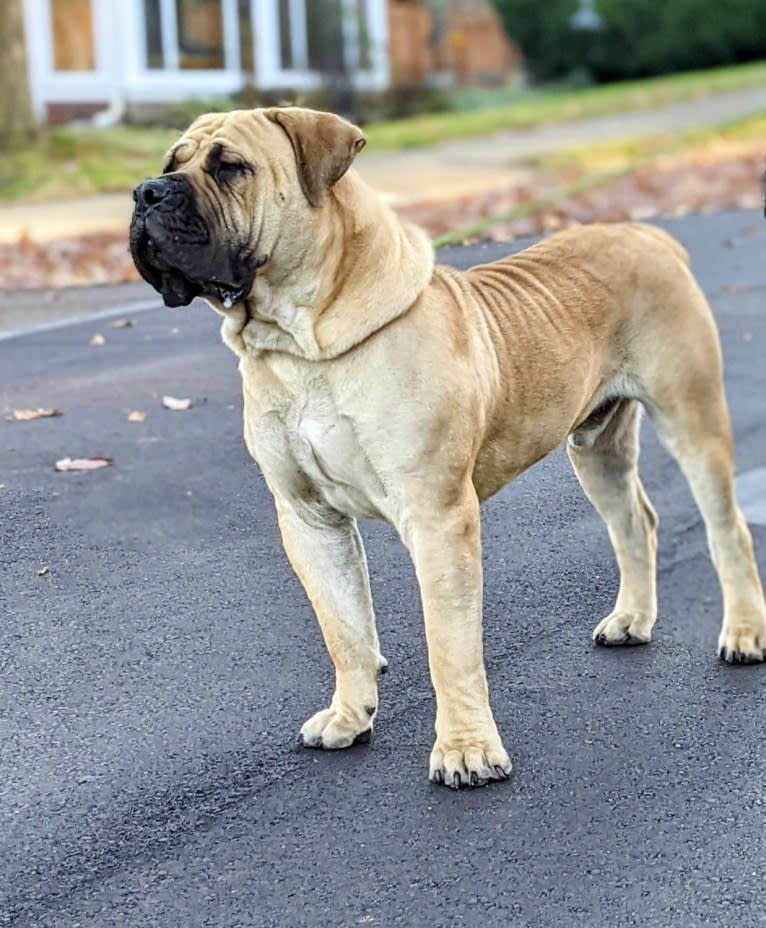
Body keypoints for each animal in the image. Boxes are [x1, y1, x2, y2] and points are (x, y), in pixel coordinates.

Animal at [132, 109, 766, 792]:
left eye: (230, 167)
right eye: (171, 163)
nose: (145, 193)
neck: (304, 346)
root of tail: (651, 236)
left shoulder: (437, 516)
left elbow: (449, 643)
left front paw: (466, 749)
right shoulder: (308, 519)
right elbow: (343, 626)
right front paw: (350, 714)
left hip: (692, 417)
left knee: (727, 527)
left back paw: (744, 631)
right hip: (596, 446)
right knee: (633, 522)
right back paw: (632, 621)